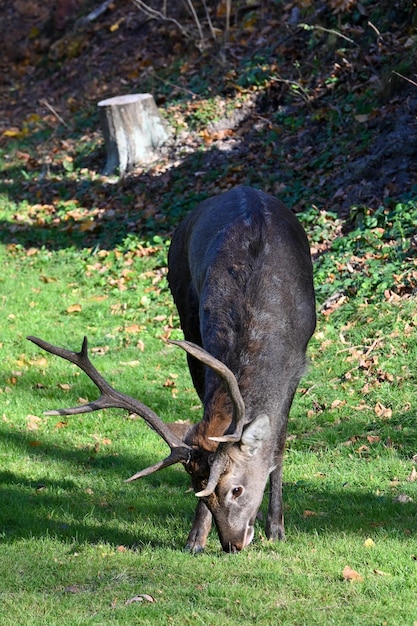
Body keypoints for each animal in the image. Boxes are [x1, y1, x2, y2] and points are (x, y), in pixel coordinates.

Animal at [28, 185, 316, 552]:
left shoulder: (297, 367)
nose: (232, 544)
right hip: (183, 304)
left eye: (236, 489)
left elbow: (277, 444)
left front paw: (277, 528)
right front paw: (195, 539)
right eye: (201, 492)